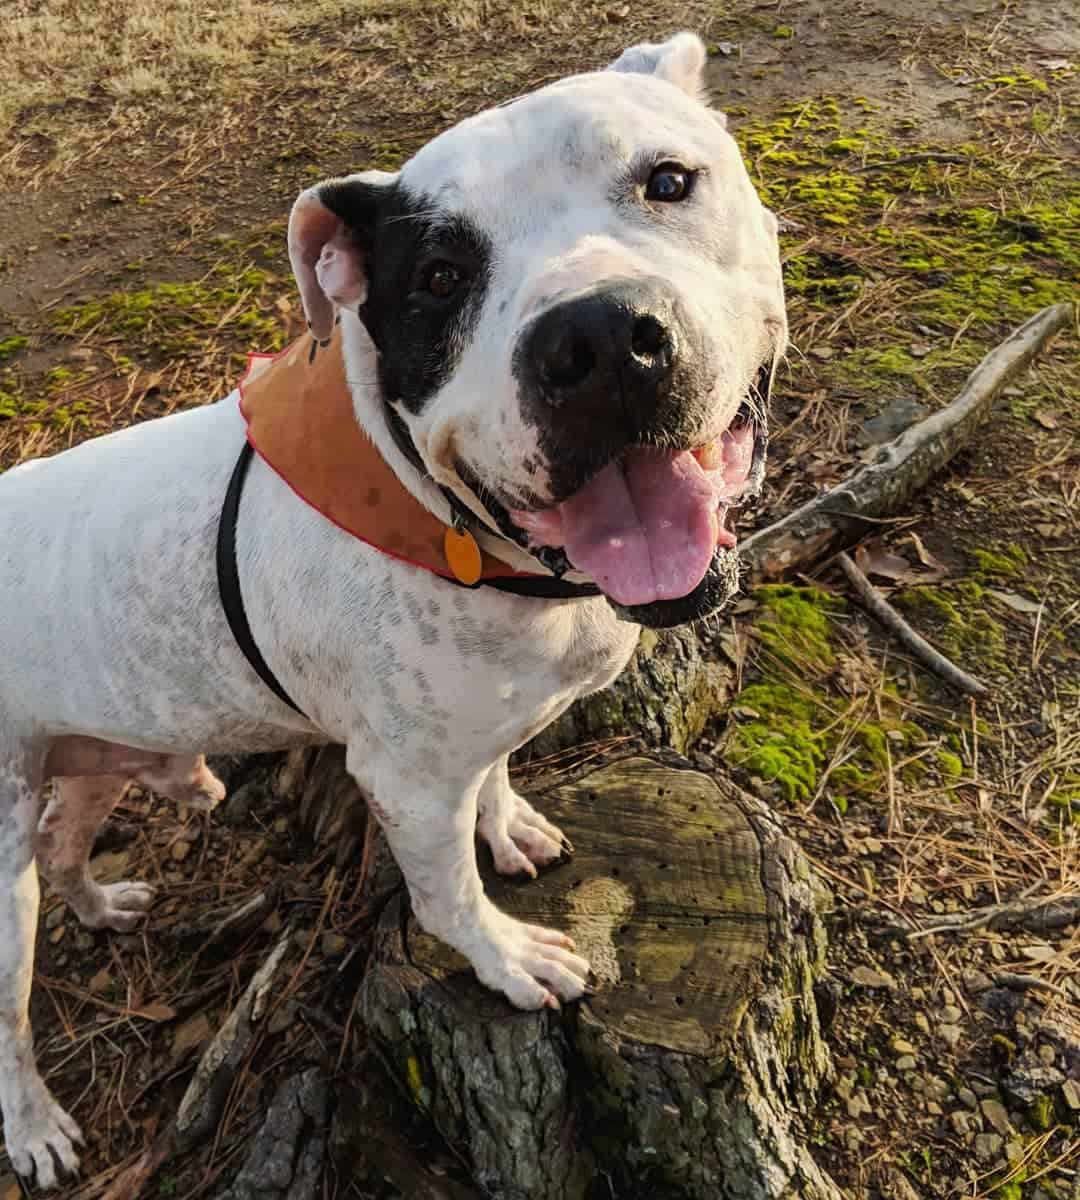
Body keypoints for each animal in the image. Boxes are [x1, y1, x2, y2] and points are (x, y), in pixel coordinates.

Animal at [0, 32, 782, 1185]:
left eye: (669, 181)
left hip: (103, 745)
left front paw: (508, 823)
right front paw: (506, 957)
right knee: (7, 1015)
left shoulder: (474, 729)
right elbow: (447, 893)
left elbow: (493, 777)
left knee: (65, 840)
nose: (597, 341)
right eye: (440, 278)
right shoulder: (405, 781)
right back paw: (36, 1127)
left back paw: (103, 902)